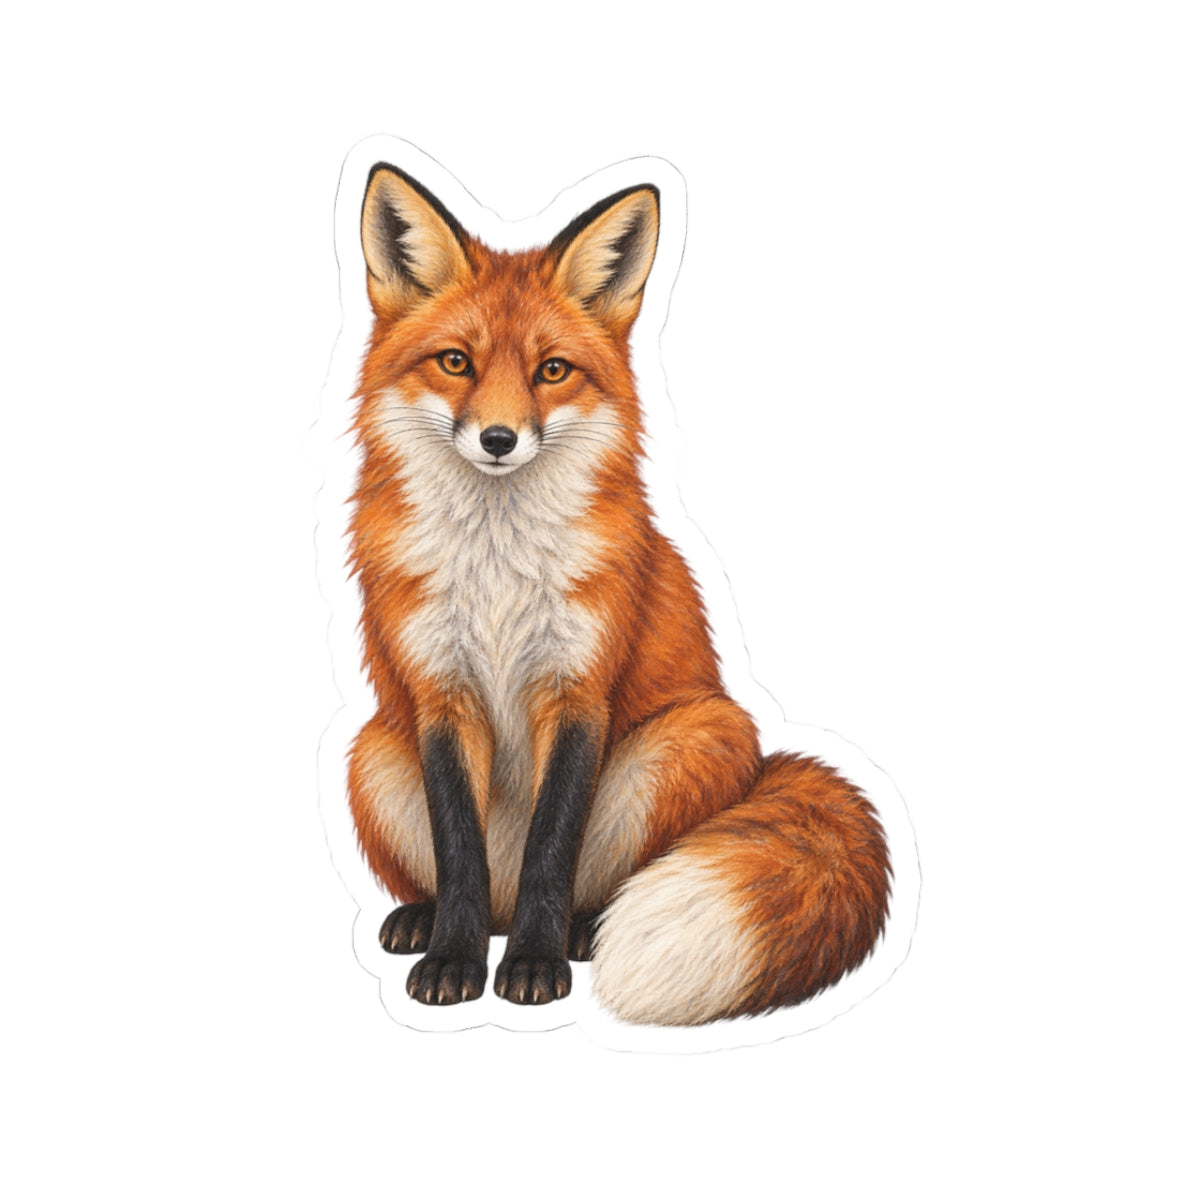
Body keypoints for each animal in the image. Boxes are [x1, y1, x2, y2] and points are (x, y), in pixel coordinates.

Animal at [346, 162, 891, 1026]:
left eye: (552, 371)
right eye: (456, 363)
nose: (498, 439)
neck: (498, 571)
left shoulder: (580, 691)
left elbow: (552, 848)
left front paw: (533, 965)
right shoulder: (439, 696)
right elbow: (459, 851)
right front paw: (454, 962)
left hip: (696, 735)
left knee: (590, 884)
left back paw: (578, 931)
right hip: (372, 751)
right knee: (471, 882)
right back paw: (422, 921)